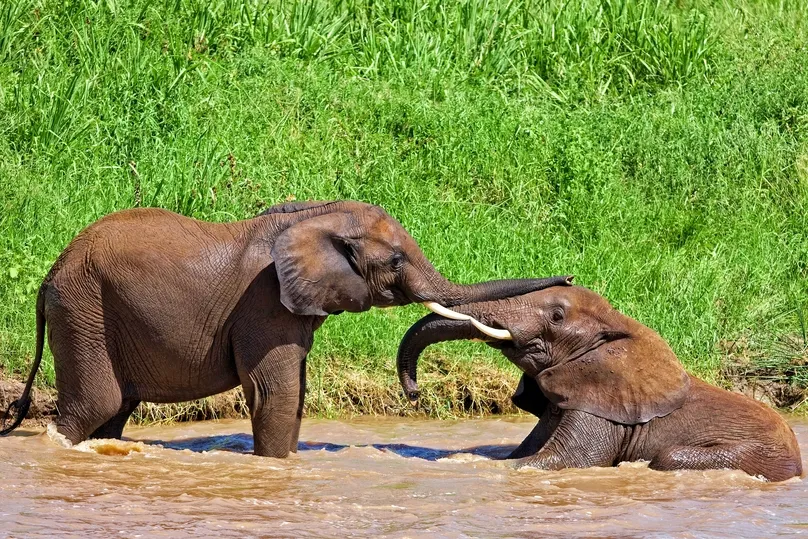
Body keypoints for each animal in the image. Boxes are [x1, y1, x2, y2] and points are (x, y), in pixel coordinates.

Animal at [0, 200, 568, 458]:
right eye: (396, 260)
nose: (568, 277)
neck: (316, 216)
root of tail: (50, 273)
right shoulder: (263, 305)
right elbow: (275, 390)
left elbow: (294, 390)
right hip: (83, 309)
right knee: (96, 403)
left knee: (115, 410)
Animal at [396, 284, 800, 484]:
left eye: (557, 316)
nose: (414, 393)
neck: (620, 324)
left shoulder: (602, 409)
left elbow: (566, 460)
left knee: (669, 456)